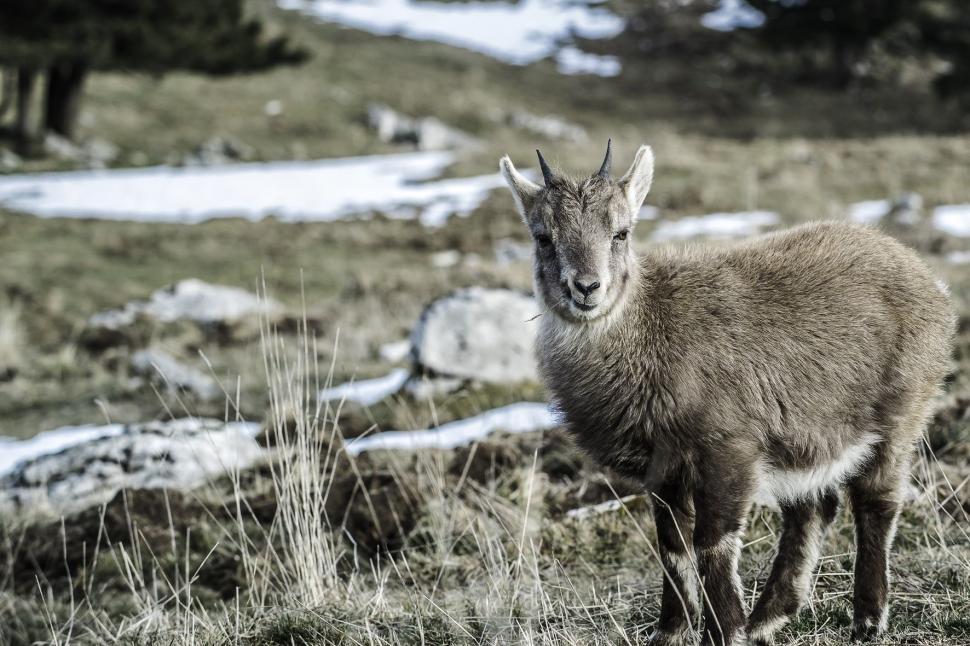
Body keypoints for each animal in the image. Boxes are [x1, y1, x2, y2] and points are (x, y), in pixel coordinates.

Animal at [498, 141, 954, 646]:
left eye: (620, 232)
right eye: (543, 236)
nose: (586, 288)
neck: (649, 335)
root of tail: (930, 283)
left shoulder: (728, 451)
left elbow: (711, 544)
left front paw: (725, 631)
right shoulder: (663, 471)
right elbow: (672, 547)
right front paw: (671, 632)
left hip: (901, 413)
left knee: (876, 501)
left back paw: (866, 620)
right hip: (806, 437)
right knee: (814, 507)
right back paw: (769, 617)